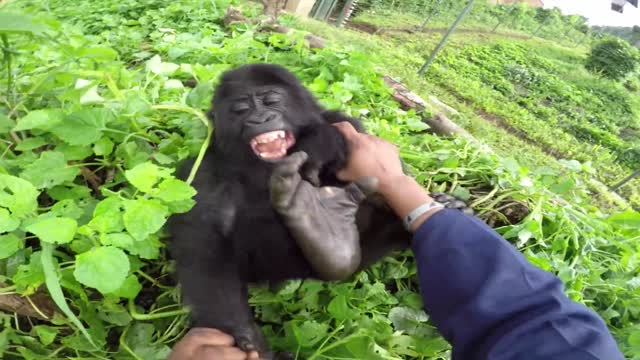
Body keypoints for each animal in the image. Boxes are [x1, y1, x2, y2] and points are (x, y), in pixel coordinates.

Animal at [170, 63, 410, 358]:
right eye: (241, 108)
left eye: (272, 100)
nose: (260, 119)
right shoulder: (199, 176)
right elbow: (205, 253)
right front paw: (242, 335)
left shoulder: (346, 125)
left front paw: (320, 142)